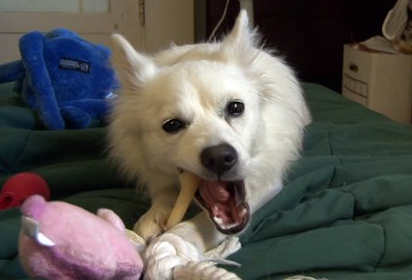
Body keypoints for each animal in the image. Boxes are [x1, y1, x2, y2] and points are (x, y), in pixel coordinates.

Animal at [108, 9, 310, 276]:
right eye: (172, 125)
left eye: (235, 107)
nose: (220, 157)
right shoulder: (156, 175)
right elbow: (162, 193)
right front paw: (154, 215)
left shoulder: (268, 182)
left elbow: (202, 224)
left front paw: (182, 235)